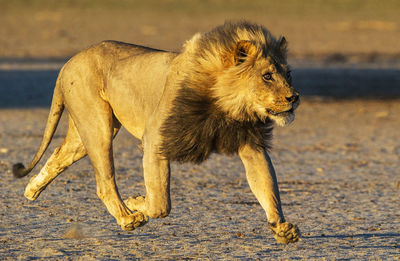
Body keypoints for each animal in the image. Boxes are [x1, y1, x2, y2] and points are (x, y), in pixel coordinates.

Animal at [12, 21, 300, 243]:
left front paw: (281, 227)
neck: (226, 107)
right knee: (104, 182)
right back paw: (127, 218)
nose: (294, 97)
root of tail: (68, 62)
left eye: (288, 75)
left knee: (59, 155)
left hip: (87, 133)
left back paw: (31, 189)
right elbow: (161, 204)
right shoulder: (156, 139)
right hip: (98, 127)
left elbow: (267, 186)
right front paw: (137, 200)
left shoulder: (251, 144)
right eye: (267, 76)